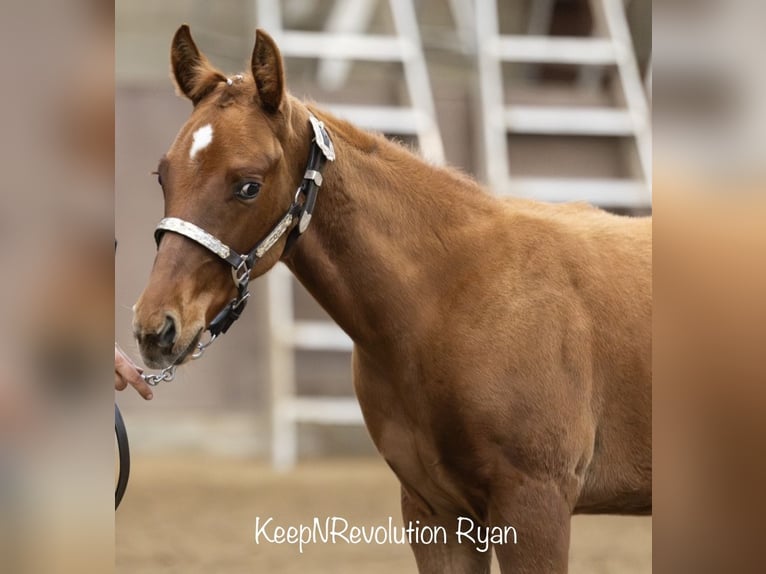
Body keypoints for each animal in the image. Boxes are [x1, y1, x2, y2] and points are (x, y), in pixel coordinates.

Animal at [134, 25, 656, 572]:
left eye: (249, 186)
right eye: (163, 175)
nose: (156, 329)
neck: (449, 299)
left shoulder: (536, 504)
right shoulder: (437, 512)